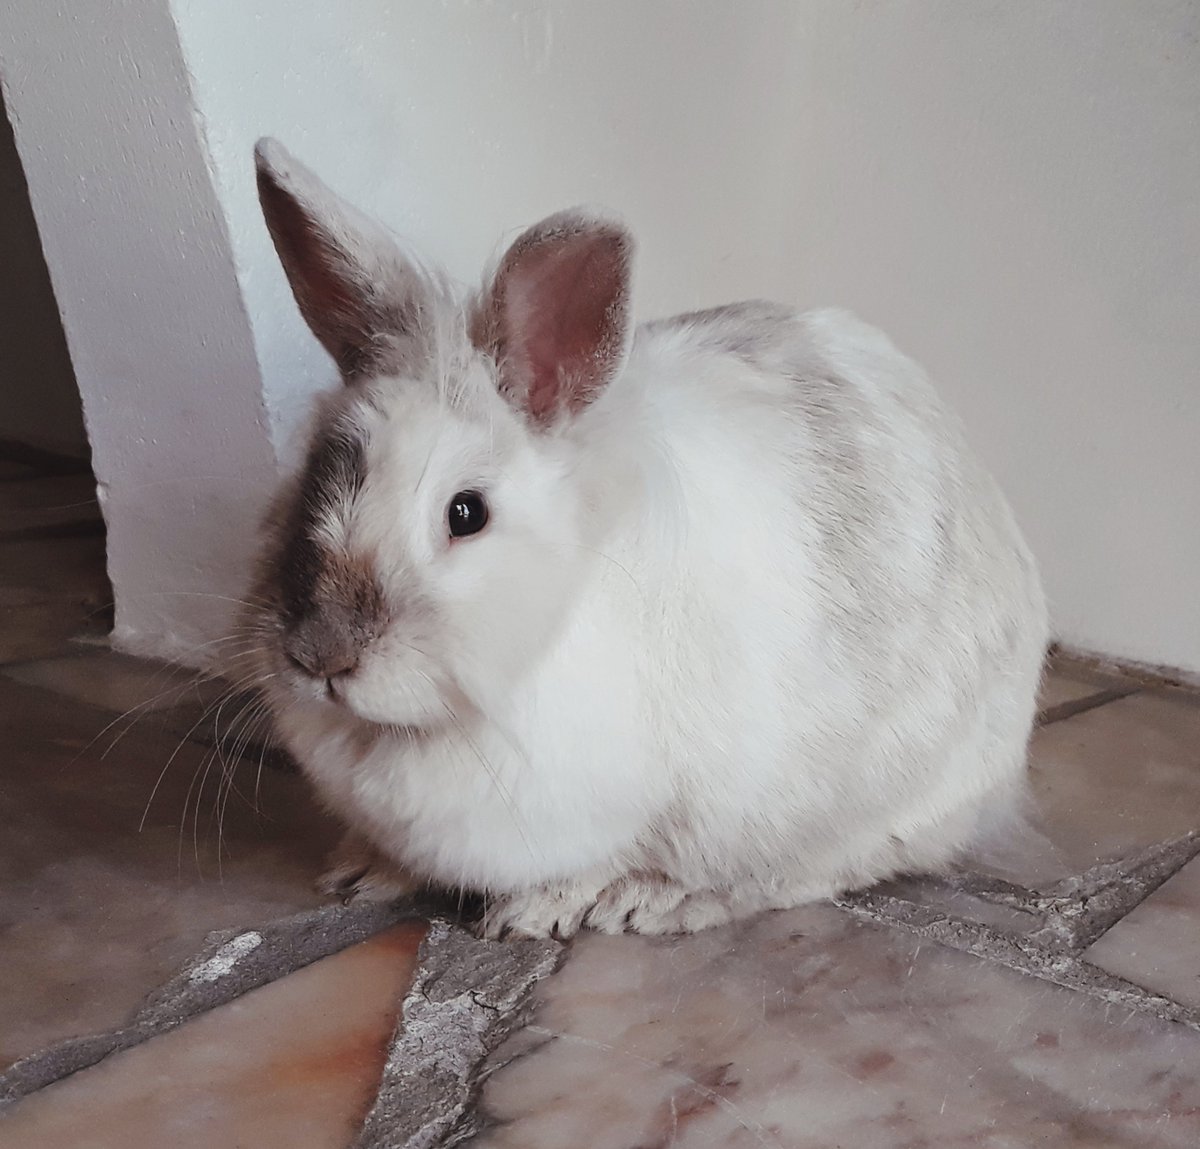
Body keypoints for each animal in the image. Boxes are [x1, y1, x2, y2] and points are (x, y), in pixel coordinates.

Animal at [237, 137, 1048, 940]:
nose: (322, 655)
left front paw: (541, 908)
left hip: (879, 801)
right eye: (313, 475)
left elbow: (607, 858)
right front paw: (364, 871)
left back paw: (660, 902)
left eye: (466, 513)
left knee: (814, 870)